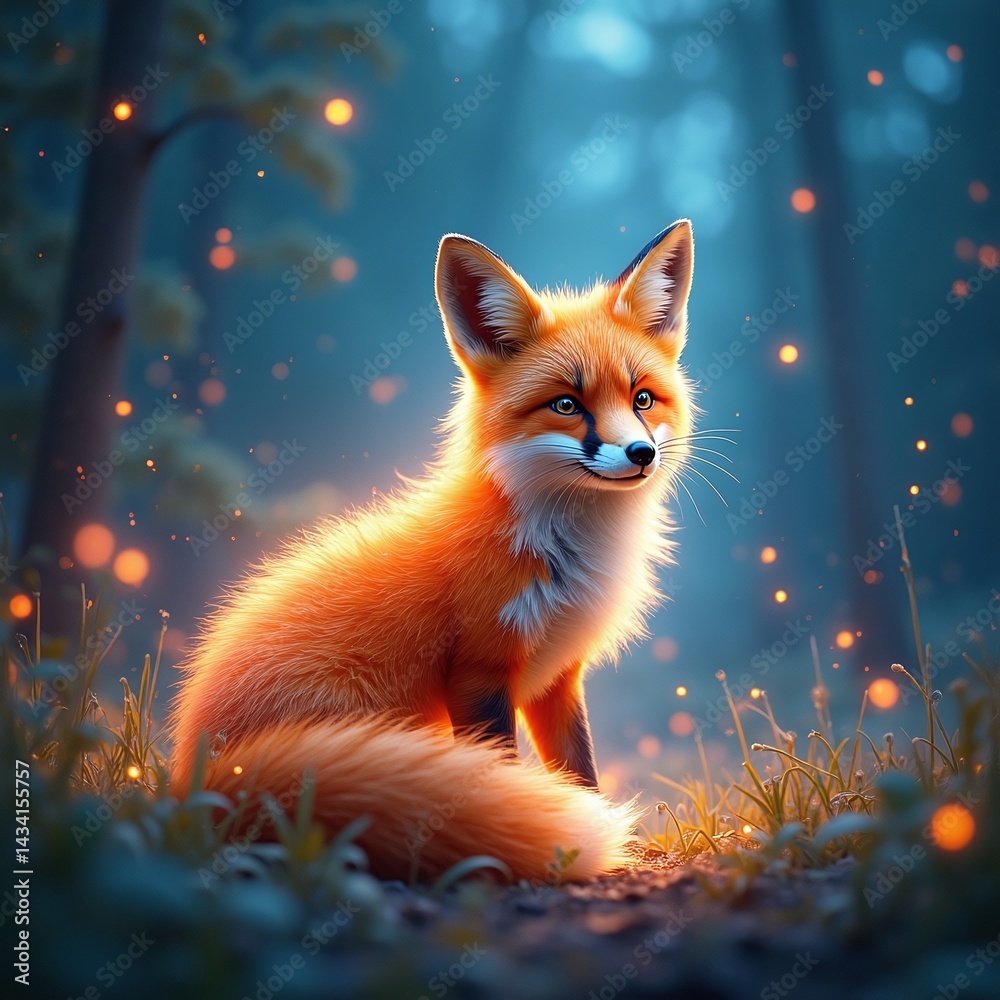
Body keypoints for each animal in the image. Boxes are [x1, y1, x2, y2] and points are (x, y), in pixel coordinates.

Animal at [169, 220, 698, 882]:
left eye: (642, 399)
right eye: (567, 404)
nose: (640, 454)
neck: (564, 552)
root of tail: (196, 780)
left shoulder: (558, 679)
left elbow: (581, 774)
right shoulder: (478, 671)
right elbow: (505, 773)